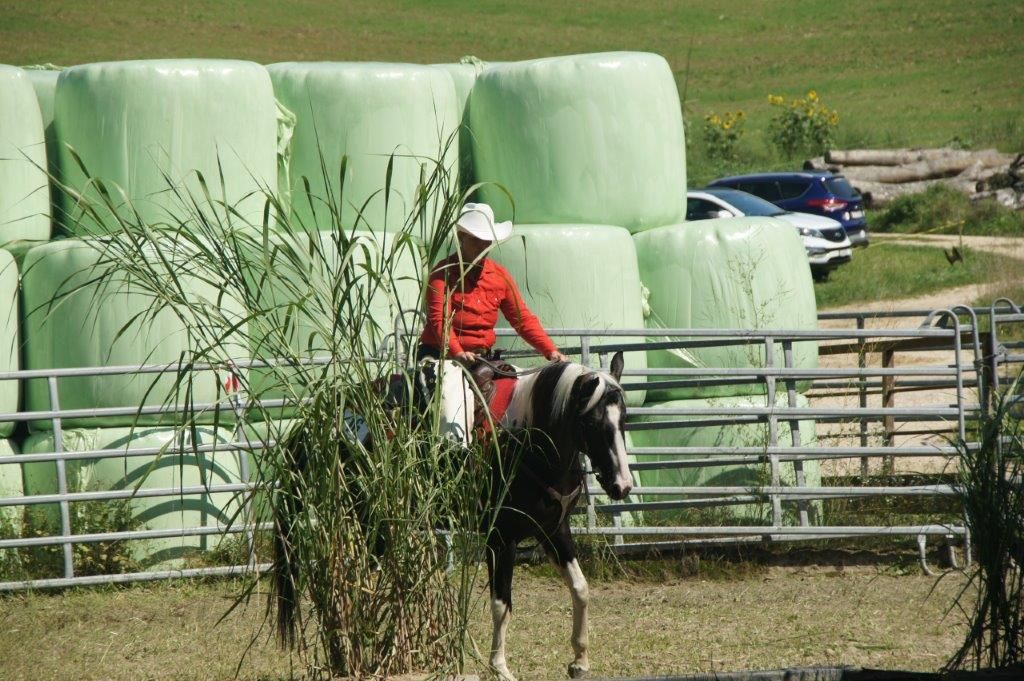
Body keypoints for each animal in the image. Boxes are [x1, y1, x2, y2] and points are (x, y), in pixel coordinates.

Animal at [433, 351, 632, 680]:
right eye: (592, 422)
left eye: (624, 419)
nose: (622, 486)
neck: (528, 447)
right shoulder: (500, 539)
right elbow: (501, 603)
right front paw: (499, 667)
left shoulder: (554, 530)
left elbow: (580, 588)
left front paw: (580, 659)